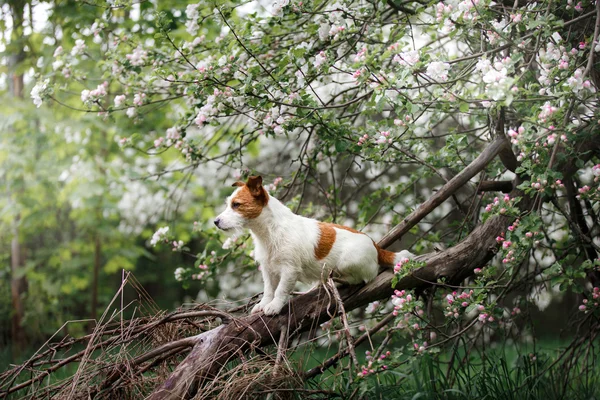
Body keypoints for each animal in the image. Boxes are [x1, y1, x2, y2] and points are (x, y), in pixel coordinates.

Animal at [216, 175, 418, 316]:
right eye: (228, 204)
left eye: (236, 205)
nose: (215, 222)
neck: (269, 232)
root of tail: (376, 246)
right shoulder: (267, 269)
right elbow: (269, 290)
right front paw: (264, 304)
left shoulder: (289, 270)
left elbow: (280, 290)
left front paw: (274, 306)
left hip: (348, 262)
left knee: (367, 276)